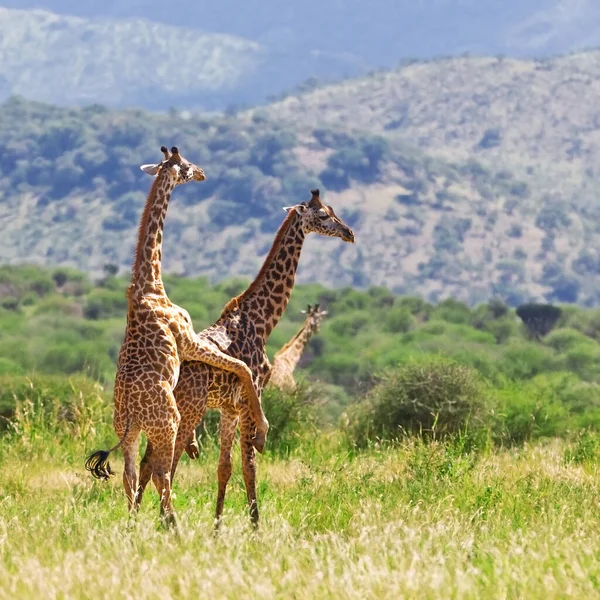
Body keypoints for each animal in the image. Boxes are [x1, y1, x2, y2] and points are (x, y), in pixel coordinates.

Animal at [84, 148, 264, 528]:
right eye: (187, 165)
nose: (202, 172)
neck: (150, 282)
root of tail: (133, 414)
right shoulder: (188, 339)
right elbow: (241, 366)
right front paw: (262, 427)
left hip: (128, 432)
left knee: (130, 474)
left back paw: (133, 525)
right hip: (167, 423)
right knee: (161, 473)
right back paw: (173, 525)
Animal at [135, 188, 356, 524]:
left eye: (333, 210)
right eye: (323, 215)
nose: (349, 233)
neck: (262, 319)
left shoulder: (230, 407)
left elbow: (224, 467)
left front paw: (217, 526)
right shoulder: (253, 396)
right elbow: (249, 465)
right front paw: (255, 525)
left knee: (148, 463)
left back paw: (136, 518)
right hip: (189, 410)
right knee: (165, 467)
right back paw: (163, 521)